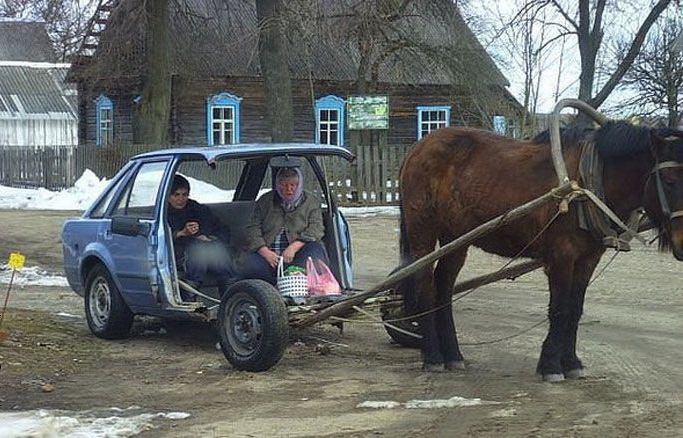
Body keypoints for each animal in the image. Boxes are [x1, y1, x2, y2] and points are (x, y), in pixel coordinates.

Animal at [398, 121, 683, 380]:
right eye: (670, 181)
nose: (681, 243)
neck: (585, 184)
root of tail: (416, 148)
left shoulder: (588, 259)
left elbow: (575, 310)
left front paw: (571, 363)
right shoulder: (561, 256)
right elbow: (559, 309)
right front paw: (551, 365)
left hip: (456, 238)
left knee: (443, 288)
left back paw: (453, 355)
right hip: (423, 231)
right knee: (425, 287)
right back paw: (433, 356)